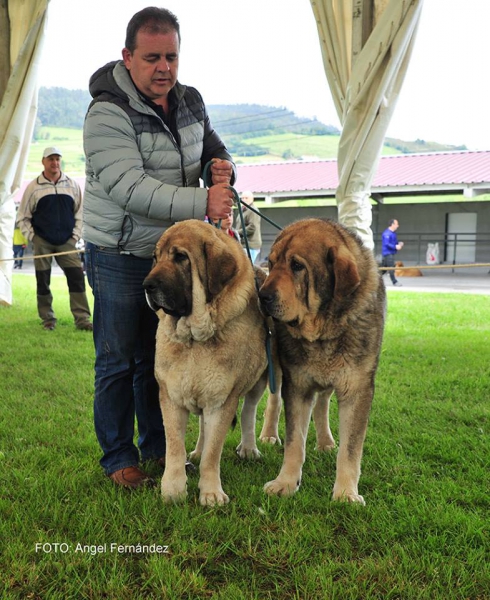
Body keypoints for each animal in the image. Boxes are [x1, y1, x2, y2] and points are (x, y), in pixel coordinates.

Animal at [258, 218, 384, 504]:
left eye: (297, 266)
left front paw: (346, 493)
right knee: (274, 402)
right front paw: (285, 482)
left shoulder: (357, 389)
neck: (323, 330)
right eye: (272, 263)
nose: (262, 295)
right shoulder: (297, 385)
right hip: (277, 369)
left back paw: (325, 441)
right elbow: (294, 441)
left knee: (323, 403)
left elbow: (351, 449)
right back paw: (269, 434)